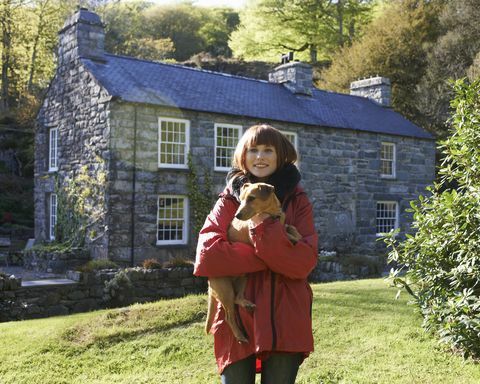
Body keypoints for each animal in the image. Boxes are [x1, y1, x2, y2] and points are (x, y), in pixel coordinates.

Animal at [205, 182, 302, 342]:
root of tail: (209, 284)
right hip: (226, 290)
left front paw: (297, 236)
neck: (271, 214)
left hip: (243, 278)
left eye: (251, 198)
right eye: (241, 199)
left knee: (238, 298)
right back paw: (240, 336)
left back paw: (247, 304)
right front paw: (293, 239)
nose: (237, 215)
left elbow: (290, 227)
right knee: (229, 317)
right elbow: (287, 234)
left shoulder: (283, 224)